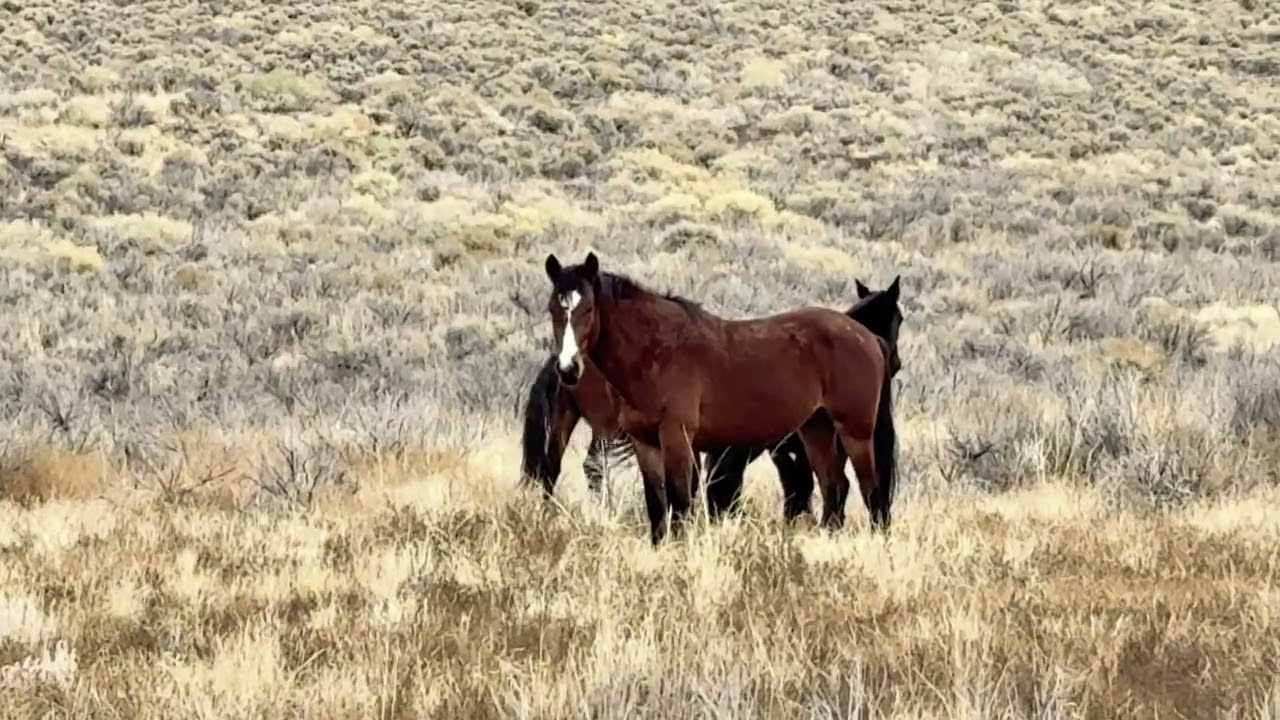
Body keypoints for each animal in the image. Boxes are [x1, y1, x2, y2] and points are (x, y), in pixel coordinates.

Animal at [542, 251, 899, 545]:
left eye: (589, 308)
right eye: (553, 309)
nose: (568, 368)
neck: (657, 351)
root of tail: (867, 337)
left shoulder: (677, 438)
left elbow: (679, 503)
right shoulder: (645, 444)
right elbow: (656, 507)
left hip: (855, 431)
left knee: (872, 492)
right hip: (816, 429)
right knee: (834, 488)